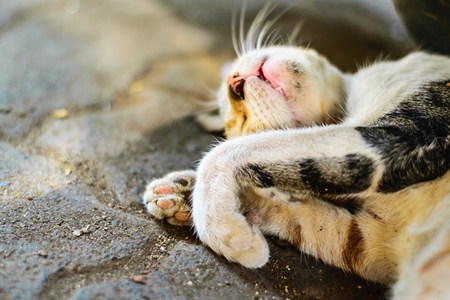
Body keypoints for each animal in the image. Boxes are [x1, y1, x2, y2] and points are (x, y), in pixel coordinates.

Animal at [142, 7, 450, 300]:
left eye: (240, 118)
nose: (234, 83)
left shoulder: (402, 135)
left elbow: (223, 154)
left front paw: (222, 228)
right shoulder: (376, 242)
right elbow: (313, 222)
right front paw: (184, 196)